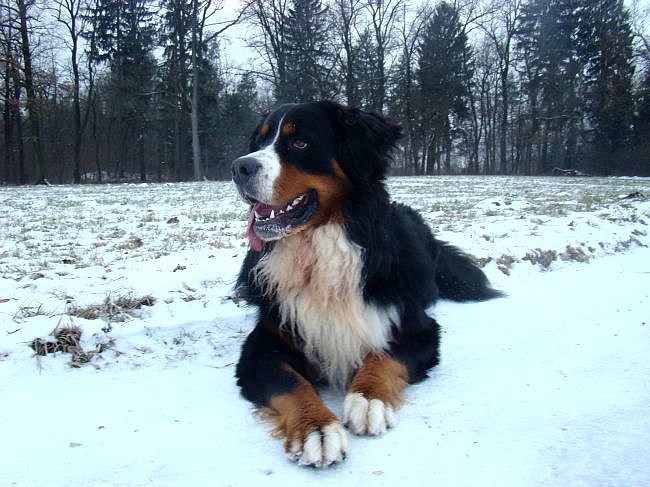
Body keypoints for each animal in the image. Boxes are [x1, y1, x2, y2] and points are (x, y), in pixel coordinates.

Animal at [230, 100, 498, 468]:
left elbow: (383, 356)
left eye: (300, 142)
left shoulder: (416, 327)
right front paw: (316, 429)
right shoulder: (265, 341)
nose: (239, 167)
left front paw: (368, 399)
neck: (318, 251)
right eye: (259, 141)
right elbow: (291, 382)